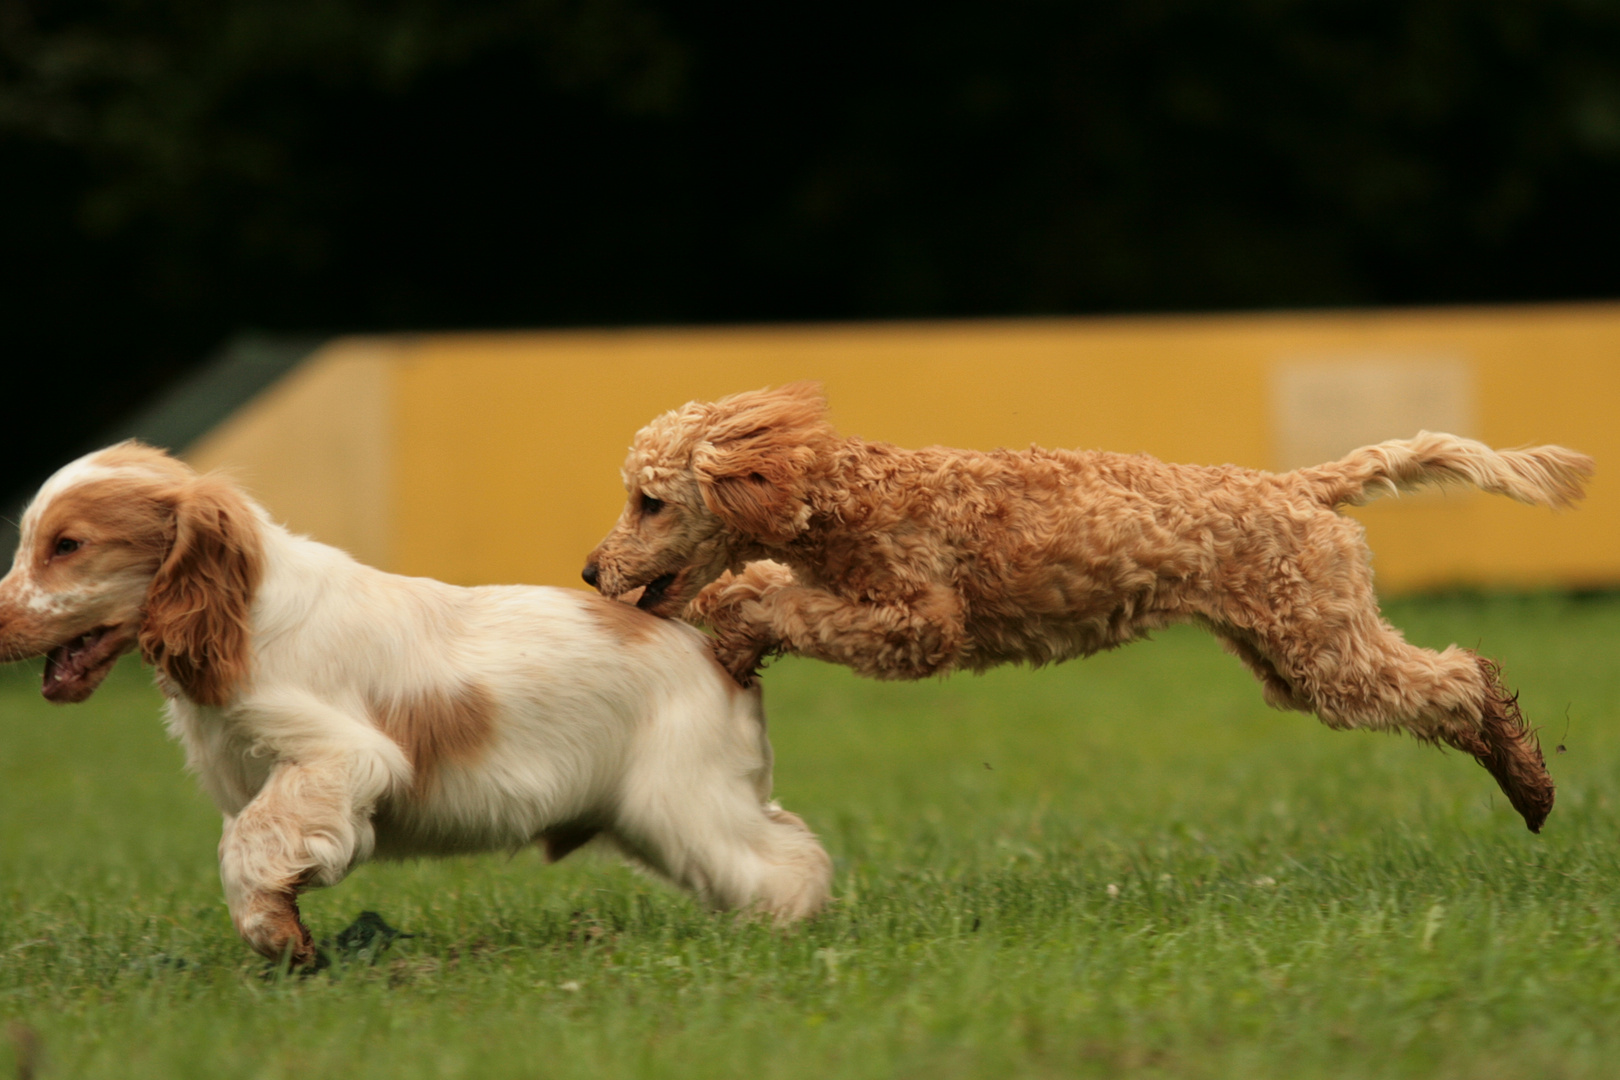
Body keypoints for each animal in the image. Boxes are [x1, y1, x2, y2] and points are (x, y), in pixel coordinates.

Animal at [586, 383, 1594, 835]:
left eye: (649, 500)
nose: (593, 572)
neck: (846, 495)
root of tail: (1301, 485)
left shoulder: (920, 623)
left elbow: (796, 608)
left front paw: (740, 628)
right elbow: (759, 585)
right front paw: (733, 615)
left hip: (1324, 647)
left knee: (1463, 677)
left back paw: (1532, 786)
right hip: (1291, 652)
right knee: (1441, 684)